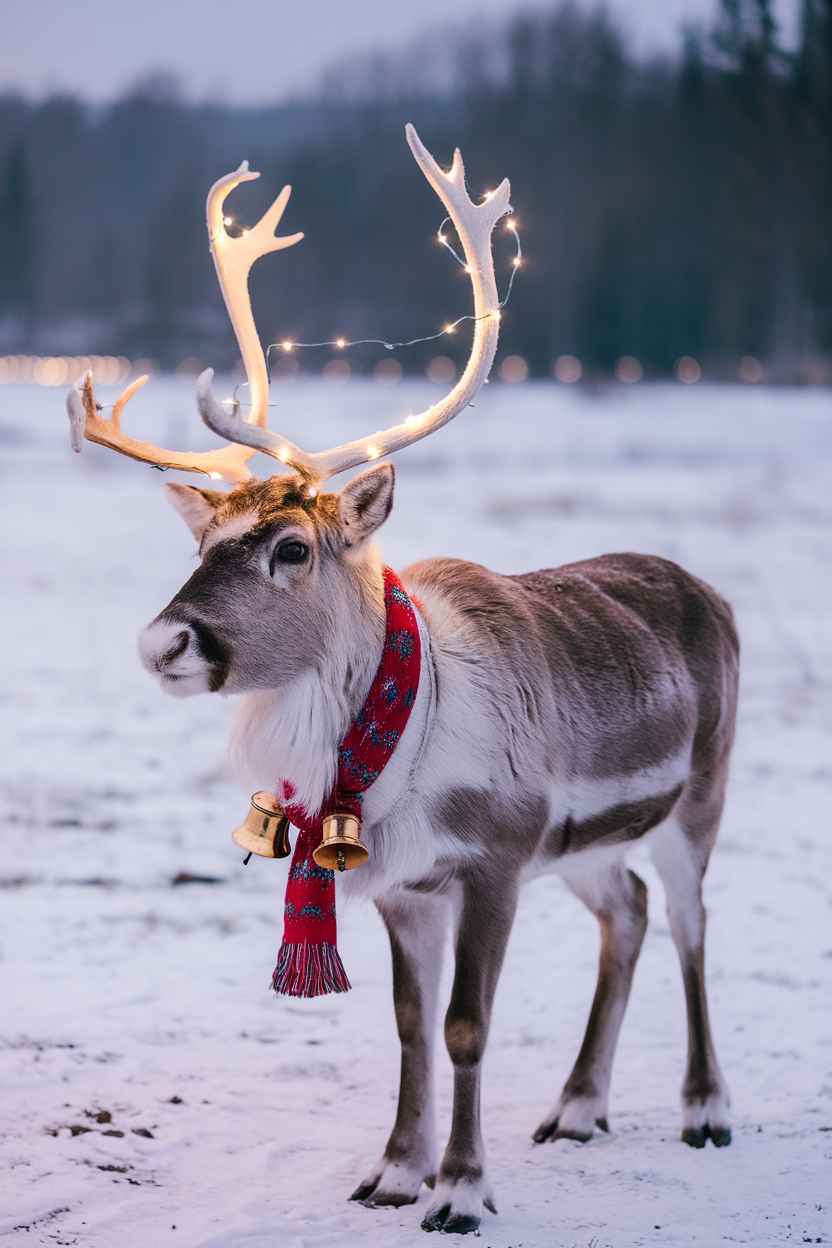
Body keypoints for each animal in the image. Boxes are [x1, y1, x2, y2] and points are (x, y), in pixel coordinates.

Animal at [65, 125, 739, 1236]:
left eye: (290, 547)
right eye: (203, 539)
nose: (164, 643)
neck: (389, 744)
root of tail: (708, 591)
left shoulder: (494, 858)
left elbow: (466, 1026)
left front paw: (460, 1189)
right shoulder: (400, 882)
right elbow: (408, 1025)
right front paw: (392, 1171)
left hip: (698, 801)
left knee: (689, 921)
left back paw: (705, 1109)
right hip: (590, 844)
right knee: (628, 911)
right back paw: (577, 1107)